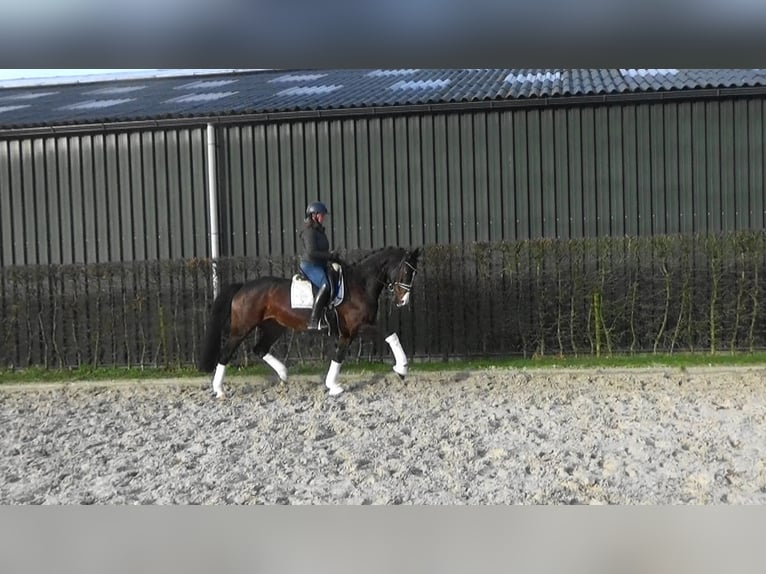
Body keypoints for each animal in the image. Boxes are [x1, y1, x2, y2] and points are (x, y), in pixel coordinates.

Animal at [198, 248, 424, 400]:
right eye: (406, 272)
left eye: (414, 273)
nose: (403, 301)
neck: (360, 285)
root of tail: (243, 286)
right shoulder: (355, 328)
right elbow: (386, 336)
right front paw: (402, 367)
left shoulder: (353, 330)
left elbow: (342, 354)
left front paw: (332, 385)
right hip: (242, 328)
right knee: (226, 353)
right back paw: (219, 390)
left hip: (274, 326)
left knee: (260, 348)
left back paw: (283, 374)